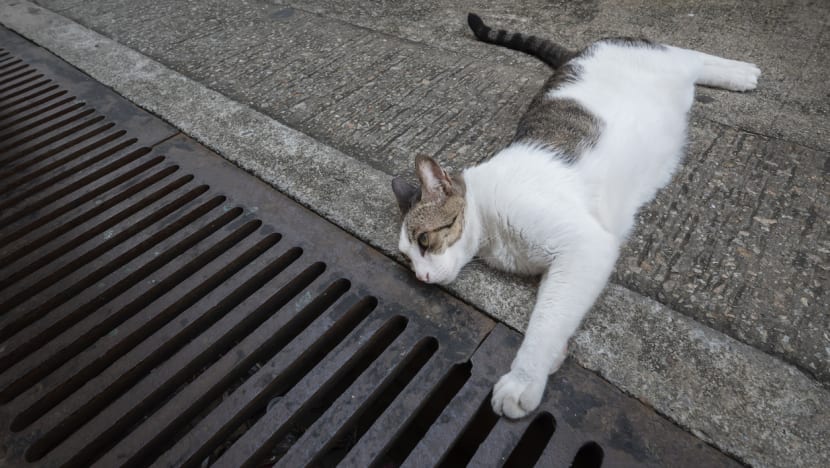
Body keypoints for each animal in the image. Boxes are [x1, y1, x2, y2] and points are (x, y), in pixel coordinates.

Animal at [390, 12, 760, 418]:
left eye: (425, 240)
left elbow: (546, 319)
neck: (490, 232)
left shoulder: (585, 245)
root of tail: (578, 52)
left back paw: (741, 72)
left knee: (692, 55)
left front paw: (525, 377)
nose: (421, 276)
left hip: (666, 58)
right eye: (407, 259)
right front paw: (555, 354)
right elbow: (558, 310)